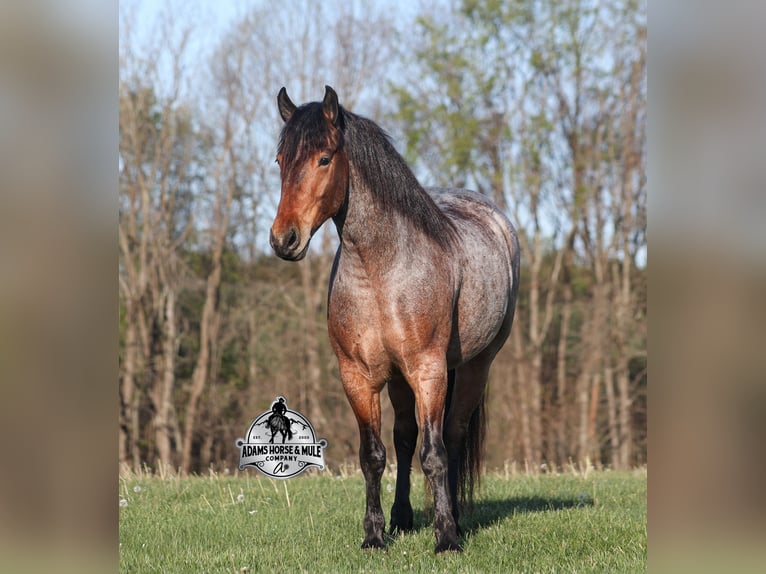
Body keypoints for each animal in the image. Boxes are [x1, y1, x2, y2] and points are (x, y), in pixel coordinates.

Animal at [270, 86, 520, 553]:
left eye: (324, 159)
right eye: (280, 161)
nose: (283, 239)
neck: (380, 272)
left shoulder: (428, 371)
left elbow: (435, 455)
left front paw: (446, 538)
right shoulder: (358, 376)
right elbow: (374, 455)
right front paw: (374, 535)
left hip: (474, 366)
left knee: (451, 437)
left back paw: (455, 519)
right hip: (400, 379)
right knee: (405, 438)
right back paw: (403, 518)